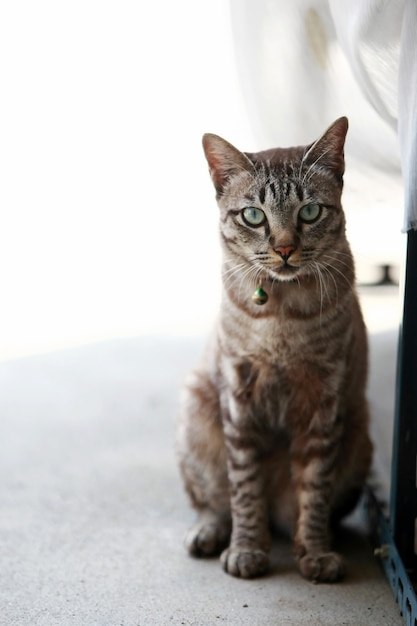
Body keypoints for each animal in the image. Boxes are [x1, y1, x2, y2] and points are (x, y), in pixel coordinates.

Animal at [175, 117, 370, 580]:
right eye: (253, 215)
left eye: (310, 211)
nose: (284, 249)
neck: (282, 313)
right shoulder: (239, 394)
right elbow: (244, 489)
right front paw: (246, 550)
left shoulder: (325, 398)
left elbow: (314, 491)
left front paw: (315, 552)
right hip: (195, 414)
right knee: (212, 501)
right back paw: (208, 533)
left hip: (360, 436)